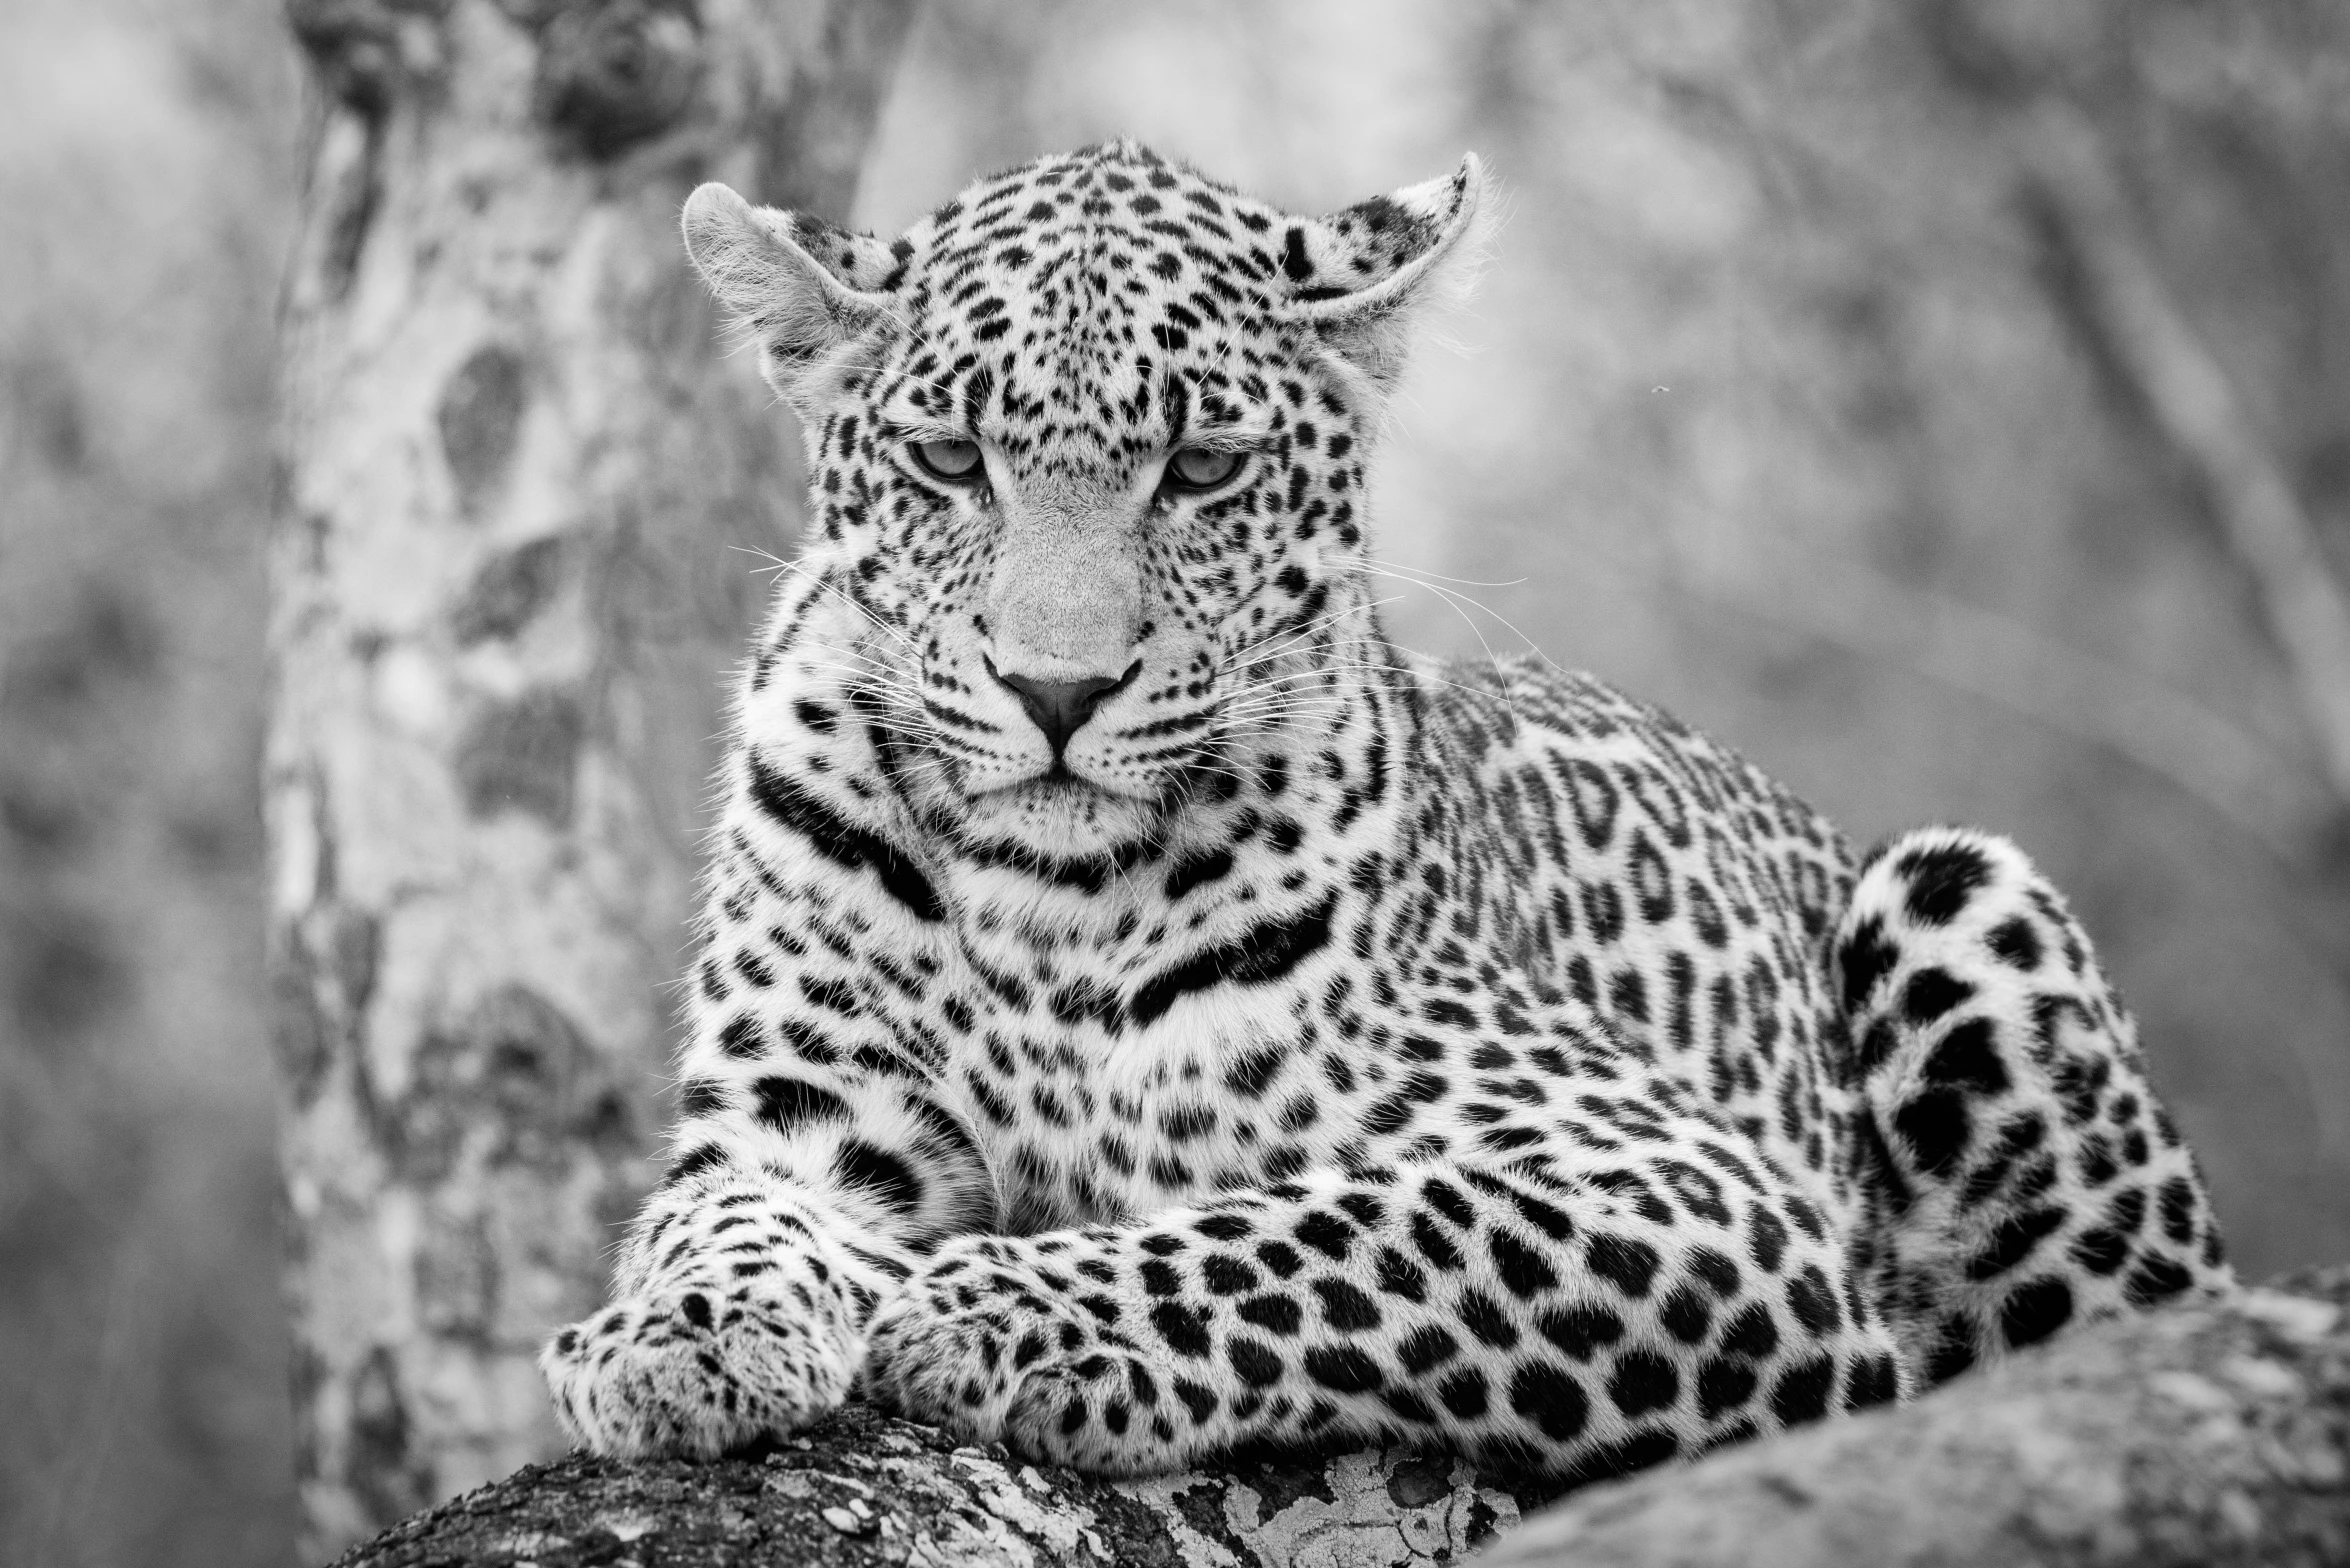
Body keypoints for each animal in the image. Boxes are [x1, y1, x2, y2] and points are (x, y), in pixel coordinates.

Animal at [540, 141, 2227, 1495]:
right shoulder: (801, 1122)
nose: (1055, 691)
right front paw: (675, 1336)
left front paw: (1002, 1308)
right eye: (950, 461)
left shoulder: (1683, 1187)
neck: (1048, 904)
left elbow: (1351, 1227)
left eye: (1202, 467)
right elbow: (722, 1220)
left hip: (1961, 894)